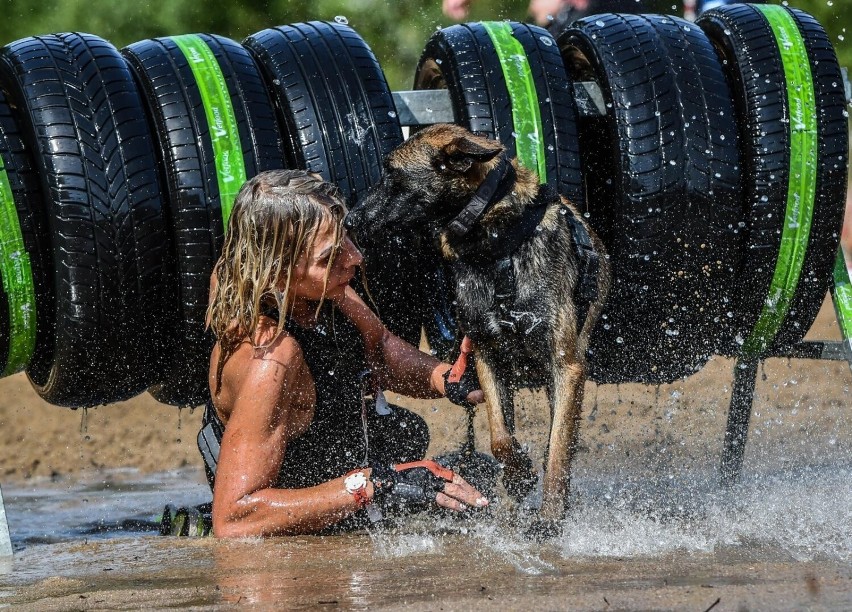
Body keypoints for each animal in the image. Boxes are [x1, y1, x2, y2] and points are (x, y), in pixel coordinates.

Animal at [346, 123, 612, 532]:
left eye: (391, 174)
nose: (348, 220)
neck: (498, 246)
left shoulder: (567, 366)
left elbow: (557, 450)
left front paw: (550, 517)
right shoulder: (486, 354)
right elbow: (500, 438)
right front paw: (518, 474)